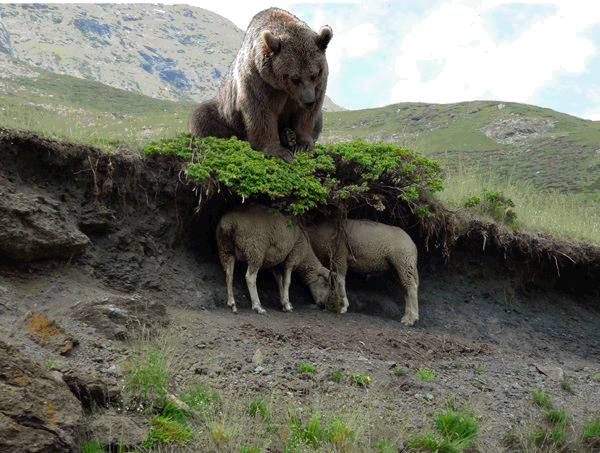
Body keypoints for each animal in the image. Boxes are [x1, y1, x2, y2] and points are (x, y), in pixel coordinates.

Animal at [190, 7, 332, 162]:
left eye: (314, 75)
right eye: (294, 78)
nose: (309, 101)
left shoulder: (317, 85)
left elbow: (307, 116)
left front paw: (303, 145)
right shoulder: (258, 79)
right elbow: (260, 111)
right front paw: (279, 152)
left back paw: (288, 136)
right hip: (226, 111)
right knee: (202, 116)